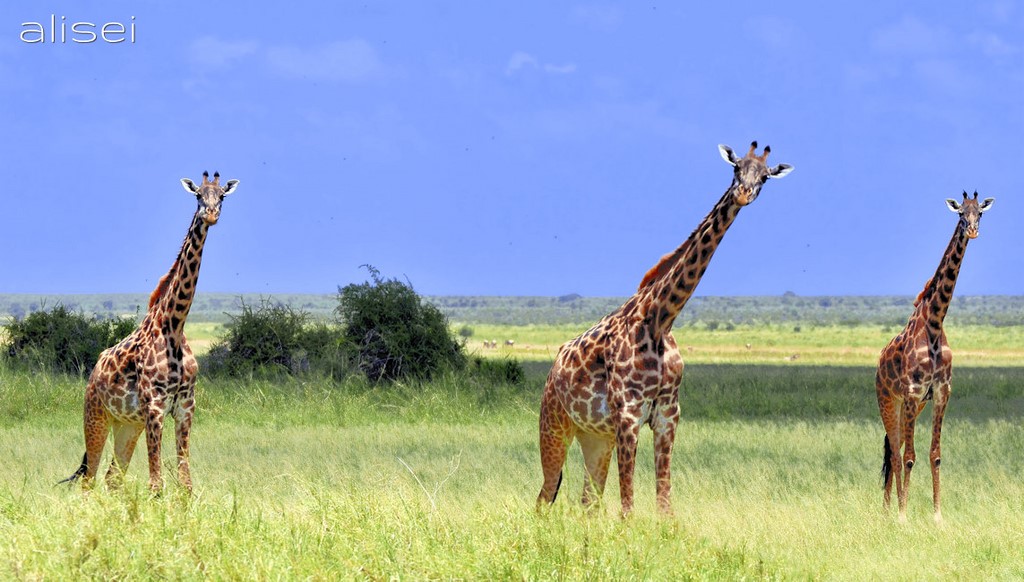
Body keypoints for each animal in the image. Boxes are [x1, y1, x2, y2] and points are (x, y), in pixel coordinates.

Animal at [60, 171, 240, 493]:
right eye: (198, 195)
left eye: (221, 196)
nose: (211, 215)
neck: (174, 326)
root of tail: (93, 374)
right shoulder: (154, 407)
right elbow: (157, 485)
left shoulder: (185, 406)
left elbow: (185, 483)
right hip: (95, 416)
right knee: (89, 480)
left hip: (128, 424)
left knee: (112, 478)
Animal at [537, 141, 793, 515]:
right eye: (735, 168)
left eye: (764, 177)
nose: (744, 194)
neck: (659, 319)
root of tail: (553, 369)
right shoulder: (628, 415)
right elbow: (628, 507)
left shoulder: (668, 414)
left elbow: (664, 505)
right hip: (555, 425)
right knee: (544, 497)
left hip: (595, 437)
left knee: (588, 504)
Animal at [876, 191, 994, 523]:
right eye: (961, 214)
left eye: (980, 212)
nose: (973, 230)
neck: (934, 323)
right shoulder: (914, 393)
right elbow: (910, 457)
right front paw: (903, 516)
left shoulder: (941, 393)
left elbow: (935, 455)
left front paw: (938, 516)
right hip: (889, 400)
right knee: (894, 452)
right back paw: (891, 511)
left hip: (909, 408)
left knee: (893, 448)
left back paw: (888, 508)